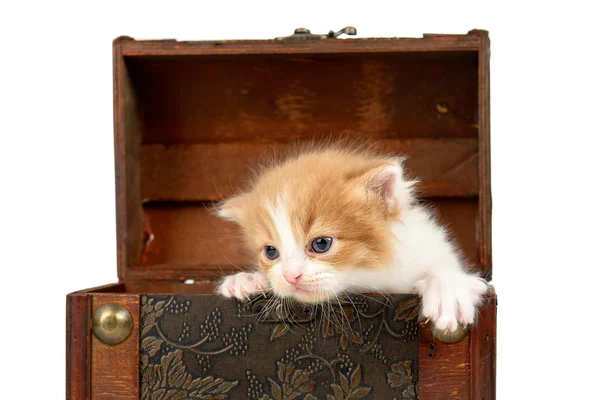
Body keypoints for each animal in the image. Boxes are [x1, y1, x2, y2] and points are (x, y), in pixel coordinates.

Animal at [216, 144, 488, 332]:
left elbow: (444, 268)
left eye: (321, 244)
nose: (291, 276)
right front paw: (248, 280)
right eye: (270, 252)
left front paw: (447, 291)